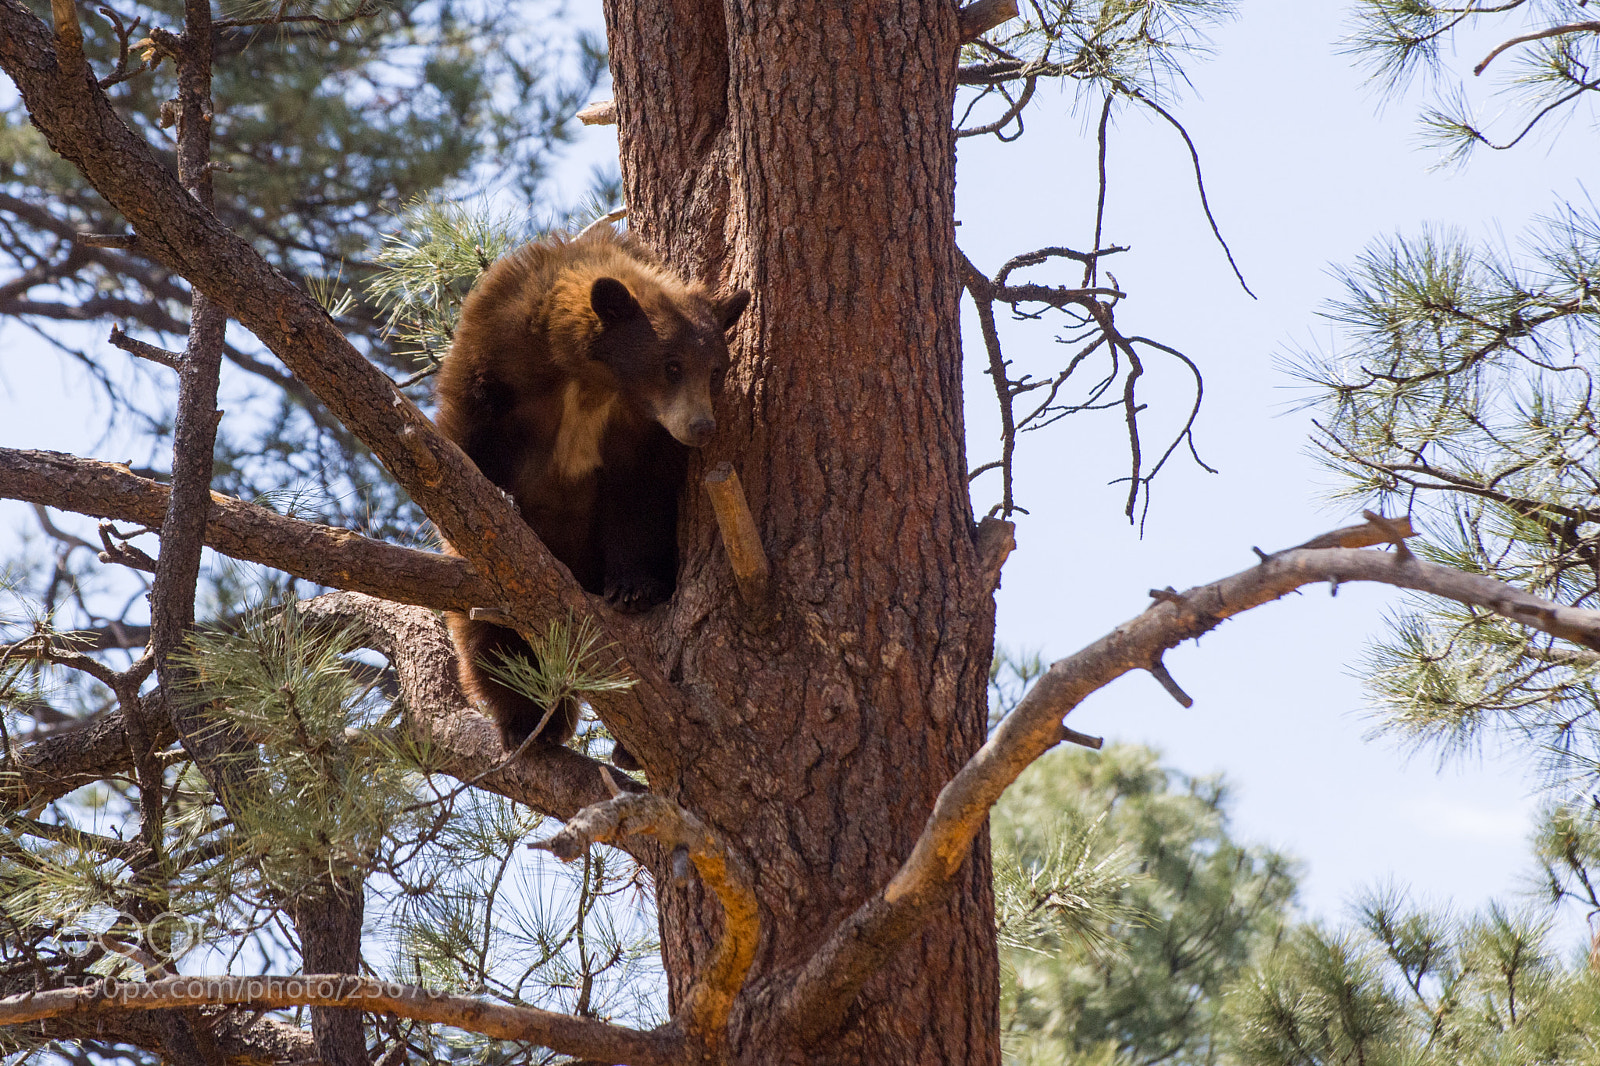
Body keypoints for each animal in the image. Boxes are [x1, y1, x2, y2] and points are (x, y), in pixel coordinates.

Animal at [434, 228, 750, 769]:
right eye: (671, 365)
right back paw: (529, 722)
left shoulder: (640, 433)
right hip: (492, 594)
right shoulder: (493, 355)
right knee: (489, 640)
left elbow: (640, 498)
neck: (589, 378)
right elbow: (466, 441)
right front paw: (497, 497)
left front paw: (632, 588)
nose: (702, 427)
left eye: (716, 369)